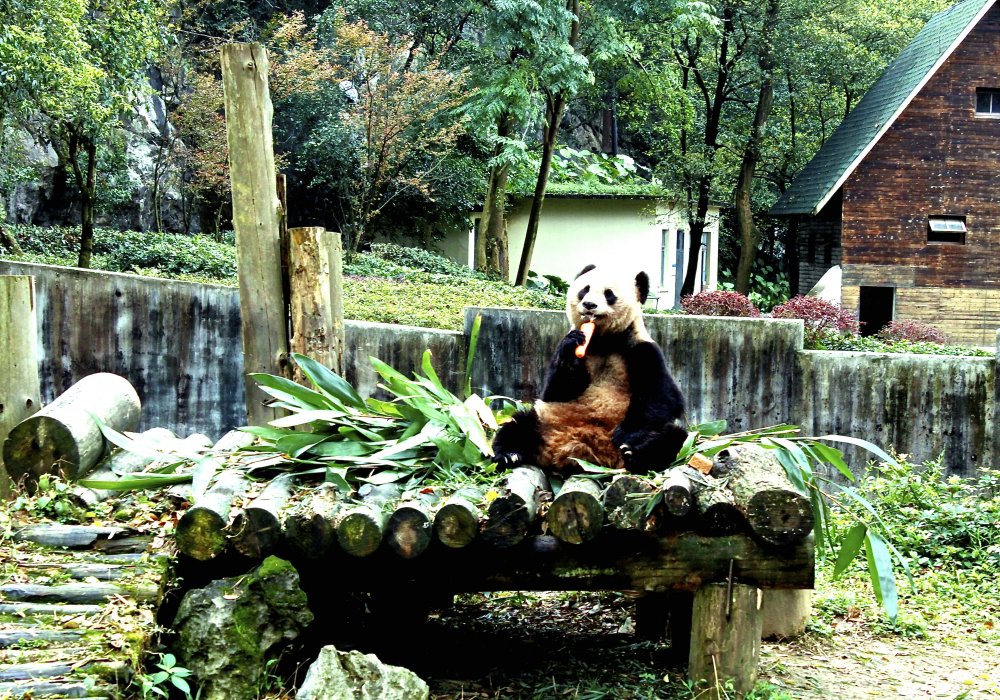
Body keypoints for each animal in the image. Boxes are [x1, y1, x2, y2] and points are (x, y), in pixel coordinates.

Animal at [492, 264, 688, 476]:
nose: (589, 304)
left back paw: (635, 454)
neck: (602, 340)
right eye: (584, 290)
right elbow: (555, 391)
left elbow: (662, 396)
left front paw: (625, 434)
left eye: (609, 294)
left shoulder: (641, 349)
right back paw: (509, 455)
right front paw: (571, 348)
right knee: (518, 424)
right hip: (544, 420)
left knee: (672, 438)